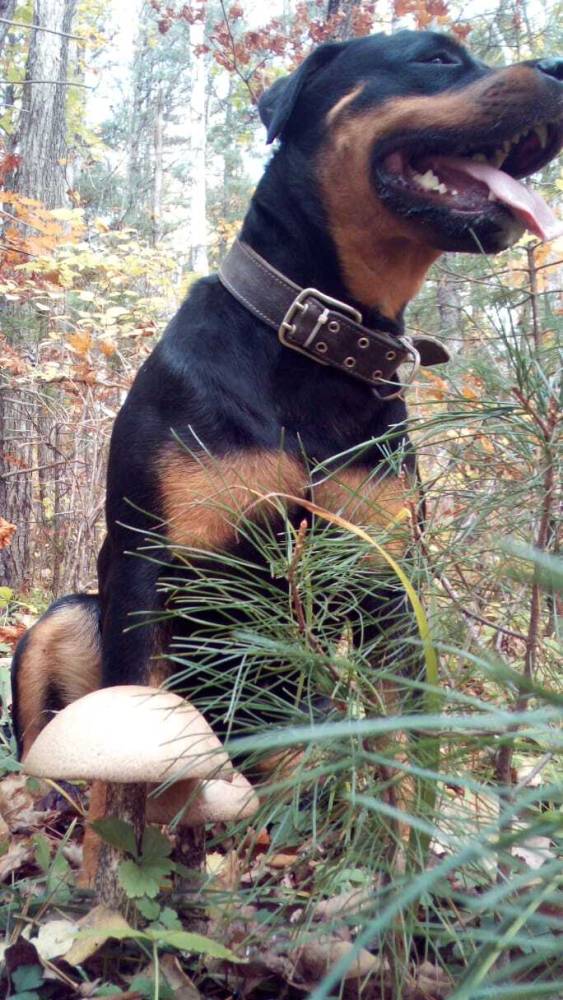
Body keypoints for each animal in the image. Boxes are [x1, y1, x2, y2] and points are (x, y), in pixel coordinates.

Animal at [12, 29, 563, 759]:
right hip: (63, 619)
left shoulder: (386, 581)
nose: (559, 67)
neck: (316, 346)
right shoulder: (145, 565)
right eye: (436, 57)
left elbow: (401, 756)